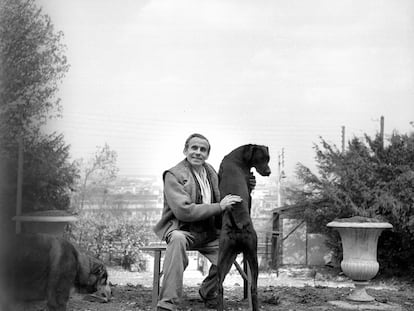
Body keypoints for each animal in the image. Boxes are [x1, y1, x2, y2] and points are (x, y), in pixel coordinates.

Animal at [217, 146, 272, 311]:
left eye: (268, 158)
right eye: (262, 158)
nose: (269, 172)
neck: (237, 157)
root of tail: (238, 227)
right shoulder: (249, 190)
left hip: (224, 255)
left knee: (220, 287)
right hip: (253, 255)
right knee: (253, 288)